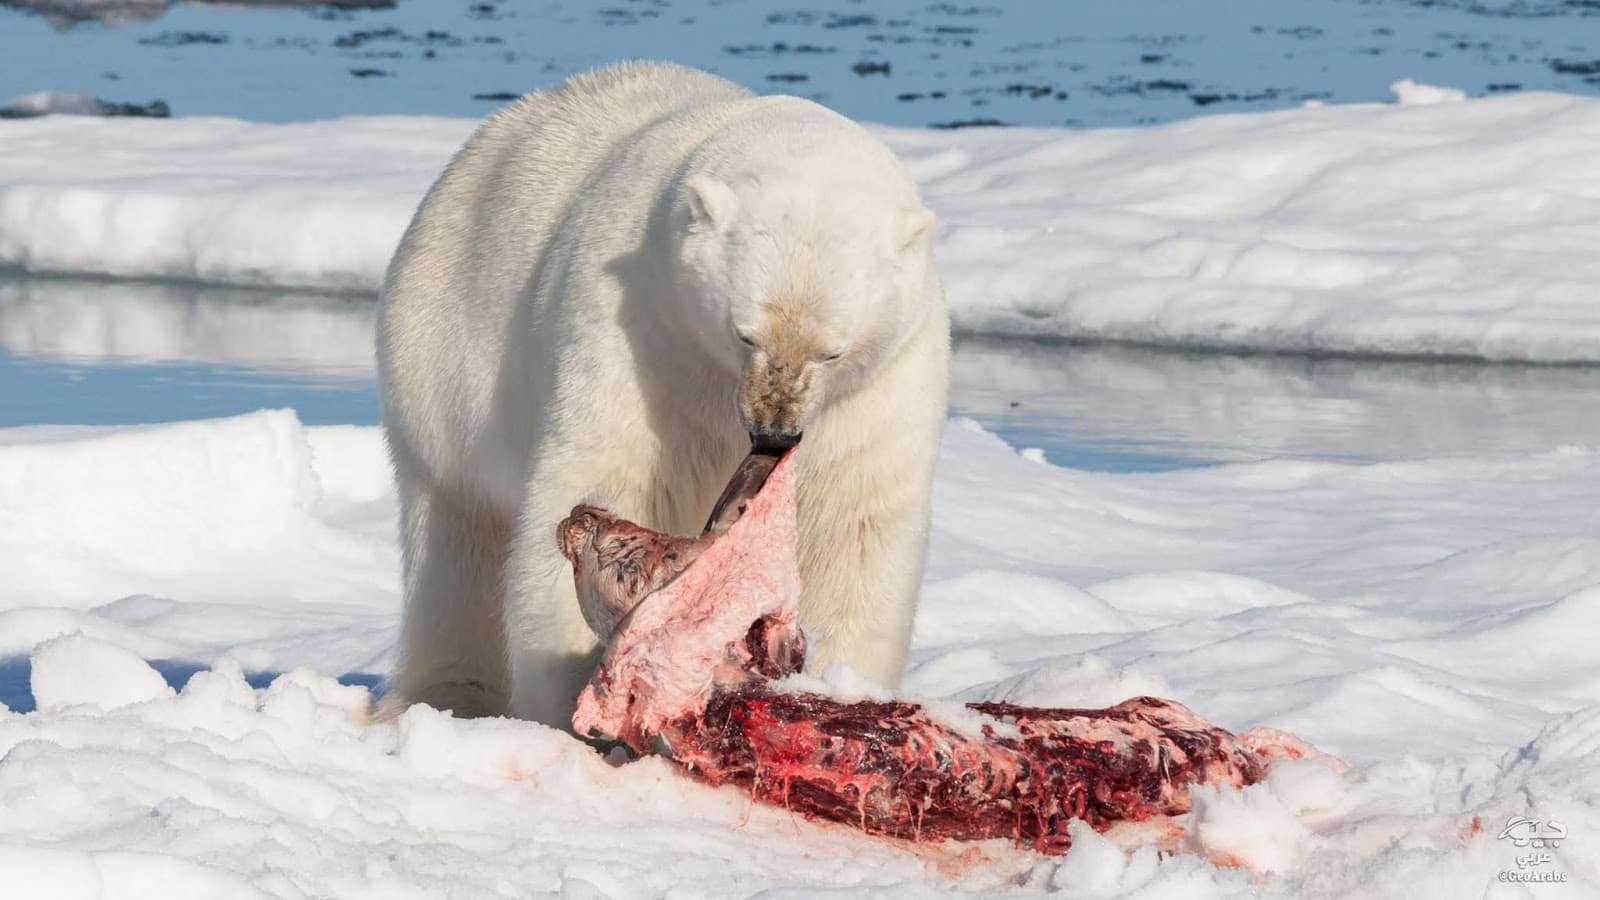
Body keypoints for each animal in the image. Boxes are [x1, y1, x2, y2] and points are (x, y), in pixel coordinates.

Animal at [374, 61, 949, 728]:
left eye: (834, 351)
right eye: (744, 332)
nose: (773, 432)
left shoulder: (885, 380)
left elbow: (854, 521)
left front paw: (836, 683)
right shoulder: (641, 330)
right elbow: (607, 475)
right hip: (438, 356)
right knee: (456, 542)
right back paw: (448, 696)